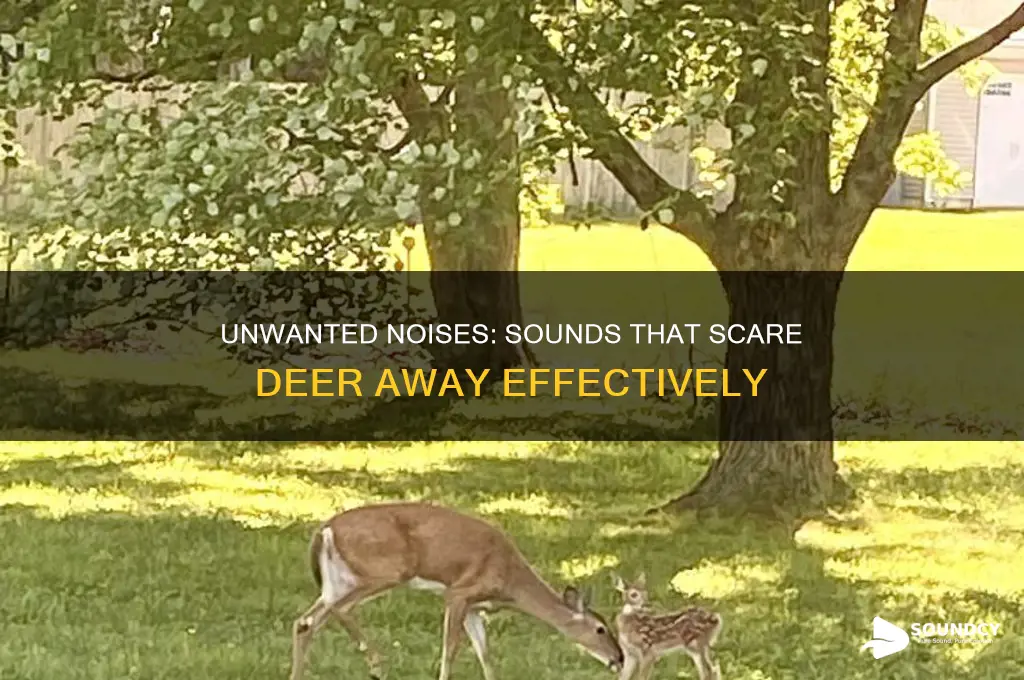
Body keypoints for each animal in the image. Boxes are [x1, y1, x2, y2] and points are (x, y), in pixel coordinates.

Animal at [290, 501, 624, 680]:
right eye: (600, 629)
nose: (619, 658)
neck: (510, 582)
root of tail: (325, 529)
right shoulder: (459, 593)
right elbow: (450, 650)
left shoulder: (475, 607)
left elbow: (485, 653)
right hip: (384, 571)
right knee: (339, 610)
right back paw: (378, 666)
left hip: (337, 581)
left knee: (306, 622)